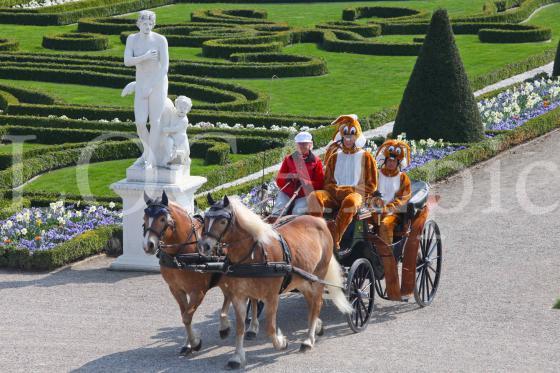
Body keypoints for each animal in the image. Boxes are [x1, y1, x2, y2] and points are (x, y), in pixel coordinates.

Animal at [142, 190, 260, 356]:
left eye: (162, 218)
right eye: (144, 218)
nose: (149, 245)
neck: (181, 253)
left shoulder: (198, 291)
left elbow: (187, 316)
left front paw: (195, 343)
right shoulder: (176, 289)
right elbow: (185, 315)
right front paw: (188, 344)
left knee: (253, 298)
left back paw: (252, 327)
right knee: (228, 294)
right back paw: (224, 325)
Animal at [199, 193, 352, 368]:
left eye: (222, 221)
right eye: (206, 219)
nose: (204, 245)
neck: (253, 256)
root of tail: (319, 221)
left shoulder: (272, 297)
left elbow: (270, 328)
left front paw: (281, 342)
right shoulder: (239, 296)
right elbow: (240, 327)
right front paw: (237, 356)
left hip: (318, 277)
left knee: (317, 304)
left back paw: (308, 339)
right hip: (302, 279)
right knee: (311, 302)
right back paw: (317, 327)